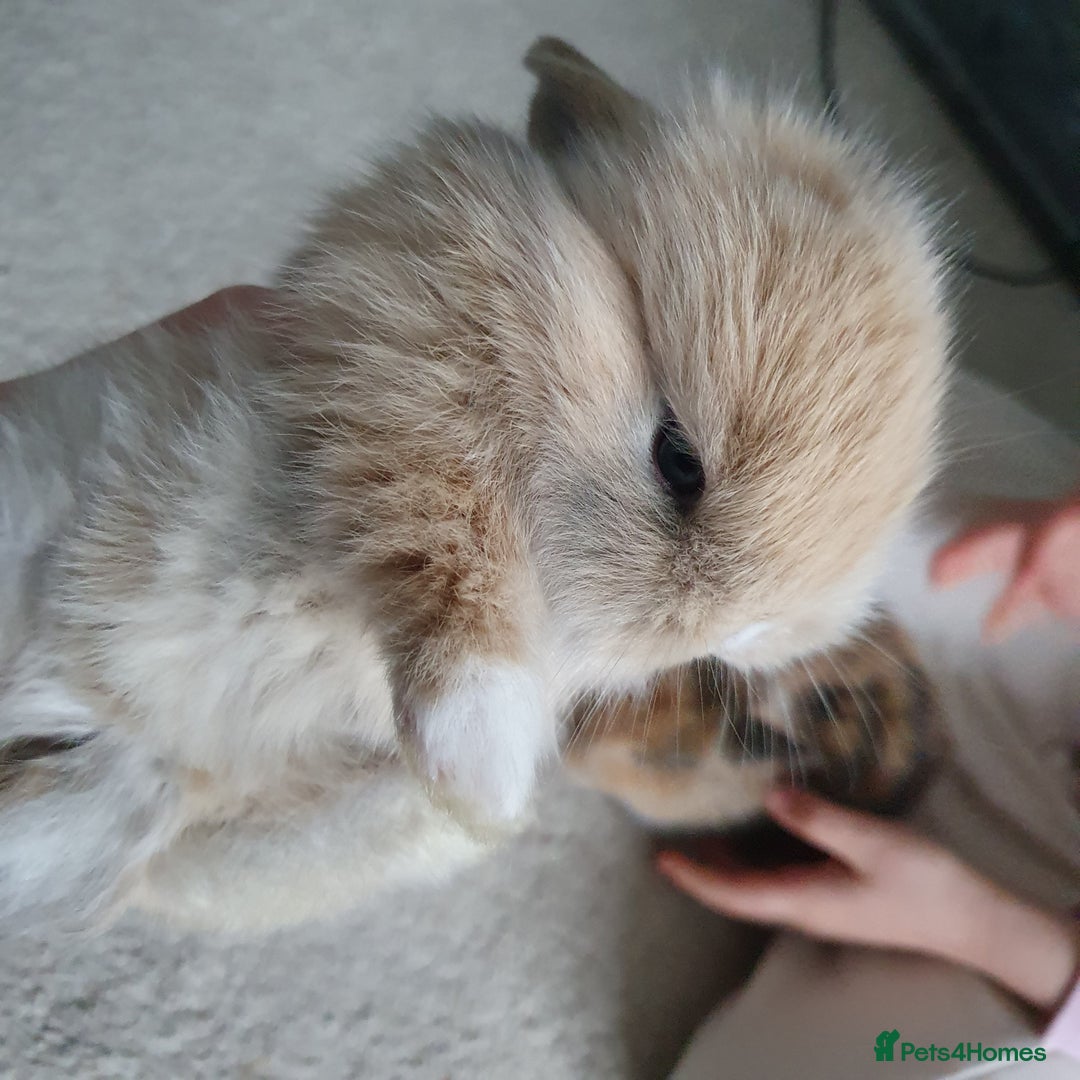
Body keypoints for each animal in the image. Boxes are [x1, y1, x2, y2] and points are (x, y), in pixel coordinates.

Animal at [0, 37, 948, 932]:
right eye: (678, 458)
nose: (725, 633)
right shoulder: (408, 350)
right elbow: (443, 516)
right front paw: (479, 759)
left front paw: (482, 801)